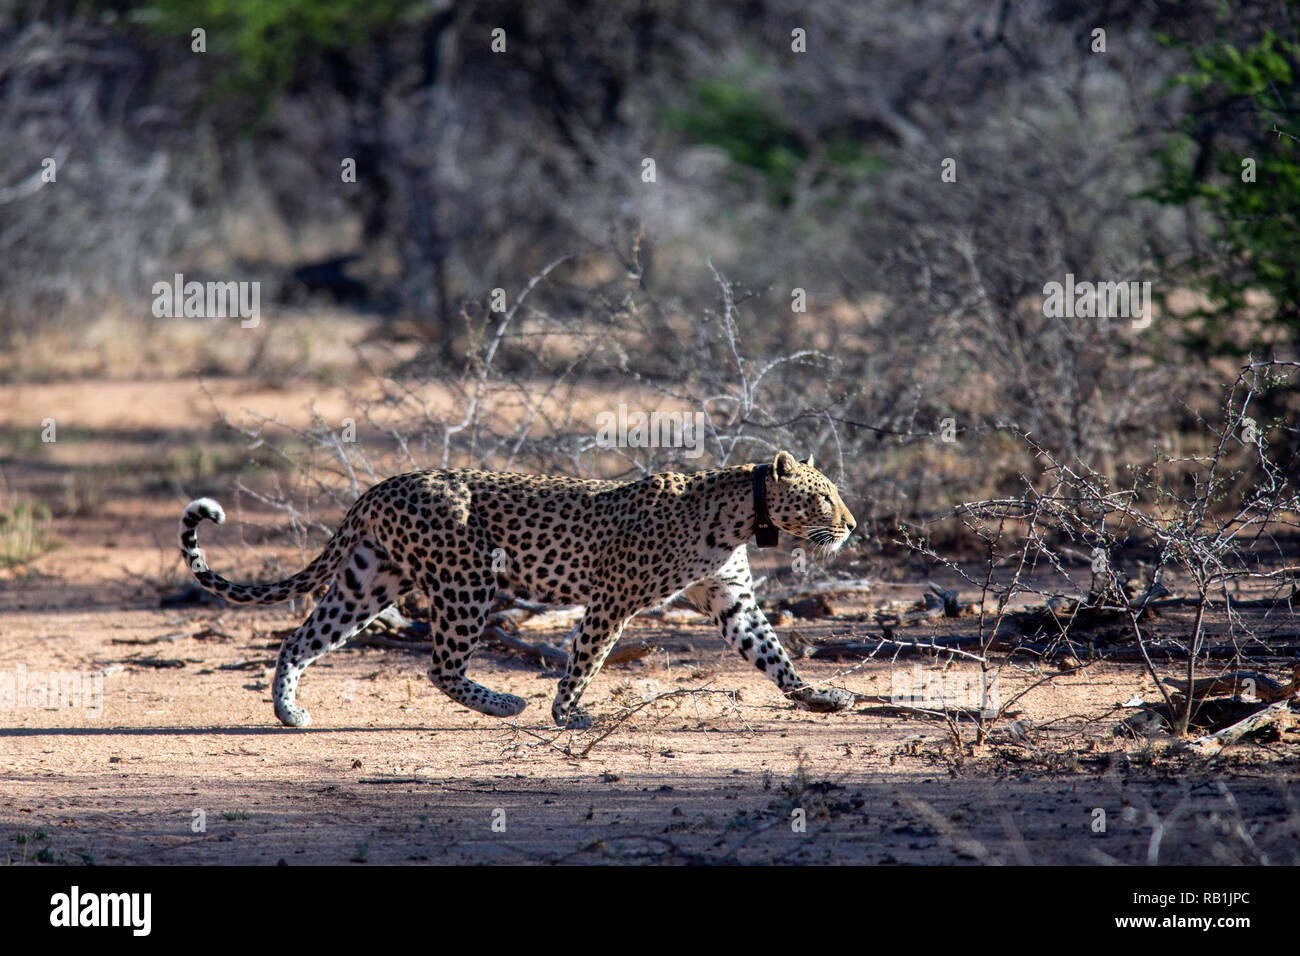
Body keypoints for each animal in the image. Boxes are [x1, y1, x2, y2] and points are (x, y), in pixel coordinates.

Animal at [178, 452, 857, 728]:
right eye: (824, 497)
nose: (851, 526)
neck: (742, 514)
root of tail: (380, 486)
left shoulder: (731, 599)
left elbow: (773, 655)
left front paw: (820, 698)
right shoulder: (613, 598)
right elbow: (586, 657)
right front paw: (568, 714)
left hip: (369, 580)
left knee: (300, 639)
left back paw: (288, 713)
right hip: (466, 579)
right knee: (440, 665)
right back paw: (506, 703)